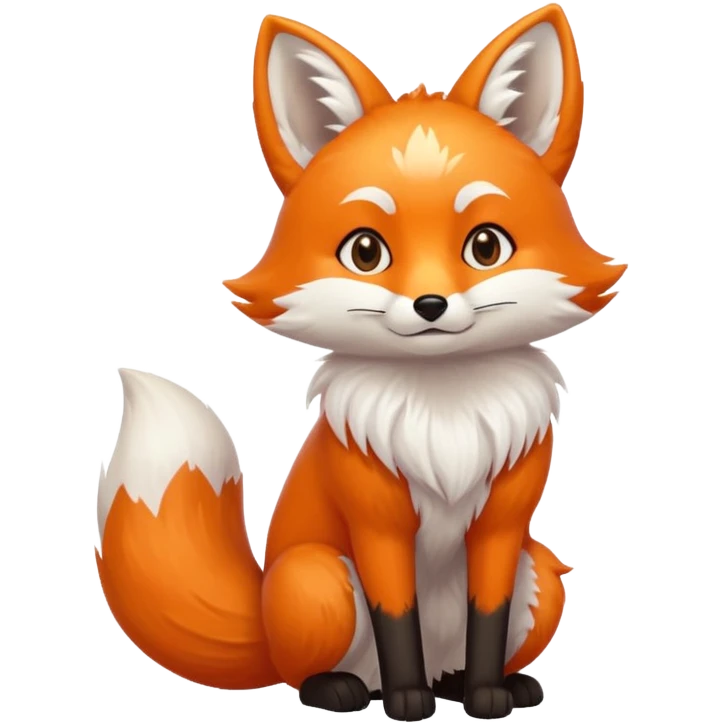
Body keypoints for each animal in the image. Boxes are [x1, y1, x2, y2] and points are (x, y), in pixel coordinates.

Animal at [96, 4, 627, 721]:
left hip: (539, 569)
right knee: (304, 671)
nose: (430, 305)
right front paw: (407, 700)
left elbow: (487, 615)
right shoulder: (376, 520)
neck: (444, 409)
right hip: (316, 577)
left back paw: (465, 682)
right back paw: (350, 688)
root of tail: (260, 620)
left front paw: (486, 693)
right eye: (366, 252)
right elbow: (394, 614)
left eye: (485, 246)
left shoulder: (502, 525)